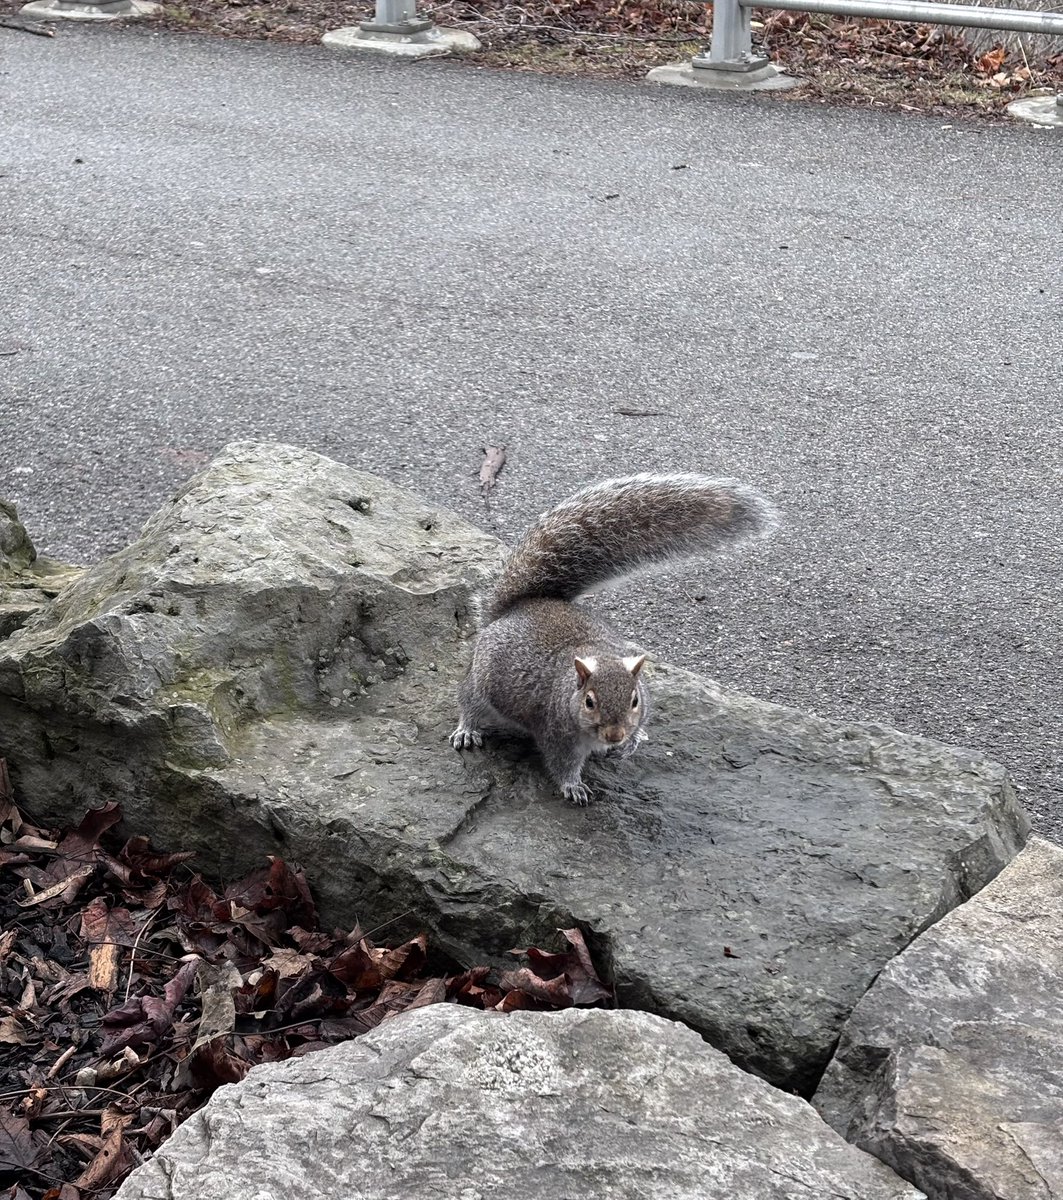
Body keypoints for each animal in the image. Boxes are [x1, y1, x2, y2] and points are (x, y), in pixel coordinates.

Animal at [450, 474, 778, 805]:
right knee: (468, 702)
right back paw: (467, 730)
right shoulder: (556, 734)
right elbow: (561, 764)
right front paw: (573, 786)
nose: (615, 736)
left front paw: (632, 741)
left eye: (635, 700)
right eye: (589, 702)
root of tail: (518, 608)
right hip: (480, 681)